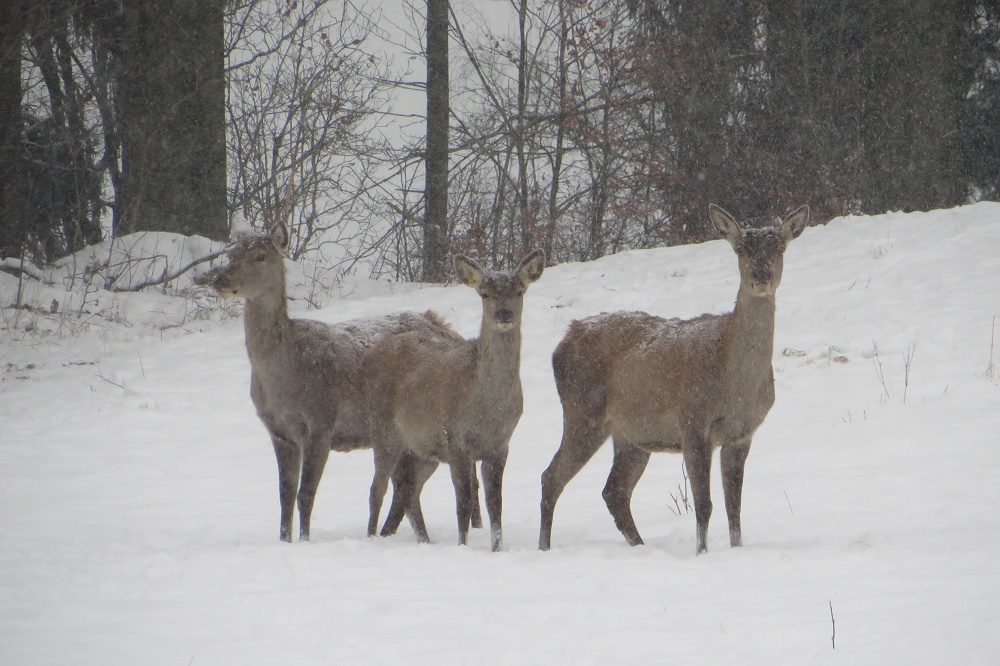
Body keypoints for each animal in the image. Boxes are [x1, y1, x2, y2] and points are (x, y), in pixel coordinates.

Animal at [211, 220, 464, 544]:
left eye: (260, 256)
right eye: (231, 254)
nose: (219, 280)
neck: (284, 378)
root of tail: (447, 329)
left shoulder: (321, 422)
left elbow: (305, 495)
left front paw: (305, 541)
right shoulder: (278, 432)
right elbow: (284, 496)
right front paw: (284, 541)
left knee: (407, 489)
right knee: (408, 491)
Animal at [362, 249, 544, 548]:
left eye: (519, 291)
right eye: (484, 293)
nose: (504, 314)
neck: (486, 407)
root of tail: (371, 355)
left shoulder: (500, 445)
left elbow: (495, 504)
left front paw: (497, 549)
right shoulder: (457, 440)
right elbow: (464, 503)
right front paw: (462, 546)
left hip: (422, 448)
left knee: (408, 489)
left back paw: (423, 540)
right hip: (384, 430)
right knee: (378, 488)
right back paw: (371, 537)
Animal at [536, 205, 808, 552]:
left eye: (780, 248)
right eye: (740, 249)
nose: (762, 277)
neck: (737, 383)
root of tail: (562, 342)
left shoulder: (742, 433)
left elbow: (734, 507)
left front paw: (736, 549)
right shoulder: (692, 421)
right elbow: (704, 504)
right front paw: (701, 552)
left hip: (631, 433)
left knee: (614, 490)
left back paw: (639, 546)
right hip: (583, 411)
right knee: (551, 477)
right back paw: (544, 547)